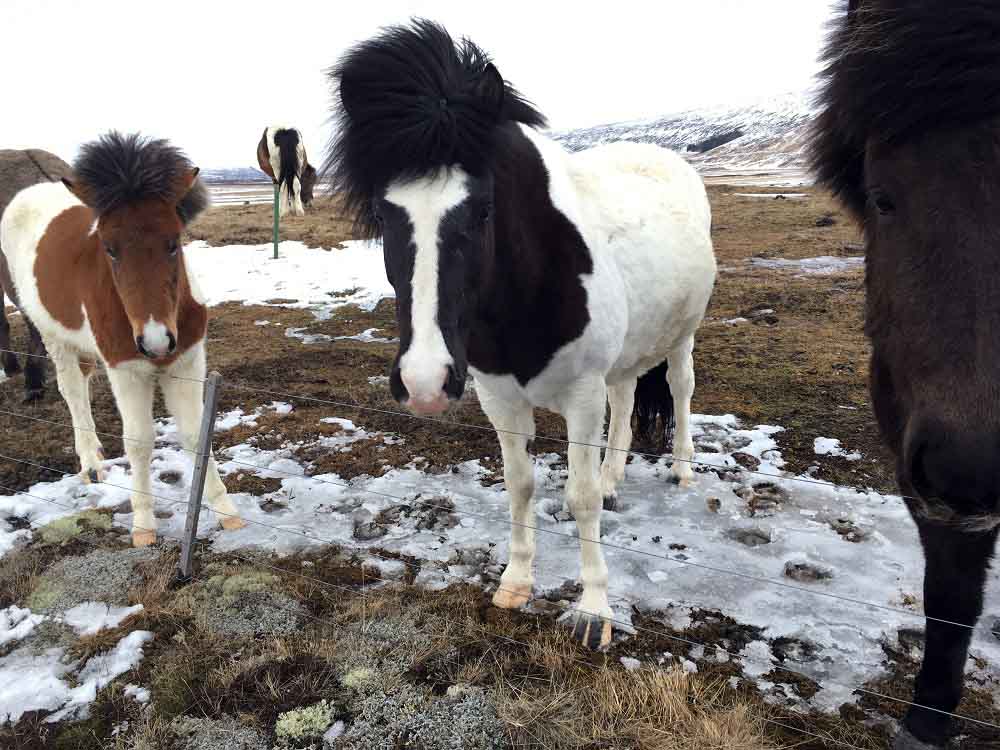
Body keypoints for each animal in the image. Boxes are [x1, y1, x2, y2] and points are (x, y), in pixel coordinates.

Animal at [324, 20, 716, 648]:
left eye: (483, 210)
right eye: (384, 216)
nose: (425, 382)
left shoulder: (581, 395)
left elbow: (579, 497)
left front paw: (595, 610)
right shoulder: (498, 397)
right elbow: (520, 484)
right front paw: (515, 581)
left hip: (681, 337)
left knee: (678, 390)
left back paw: (680, 468)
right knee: (627, 396)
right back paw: (615, 477)